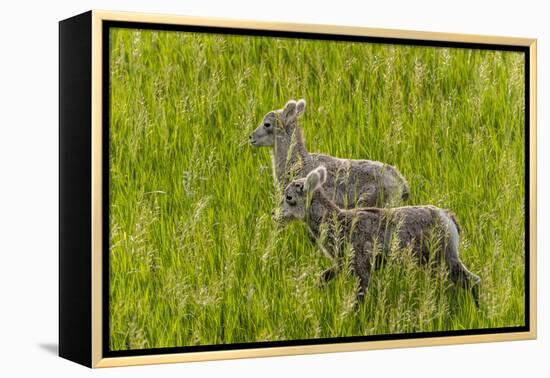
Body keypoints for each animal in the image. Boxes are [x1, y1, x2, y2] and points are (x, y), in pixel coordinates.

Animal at [278, 166, 480, 308]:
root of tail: (448, 218)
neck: (339, 223)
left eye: (289, 197)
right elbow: (322, 278)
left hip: (446, 258)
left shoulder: (362, 270)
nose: (275, 215)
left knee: (473, 281)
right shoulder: (342, 265)